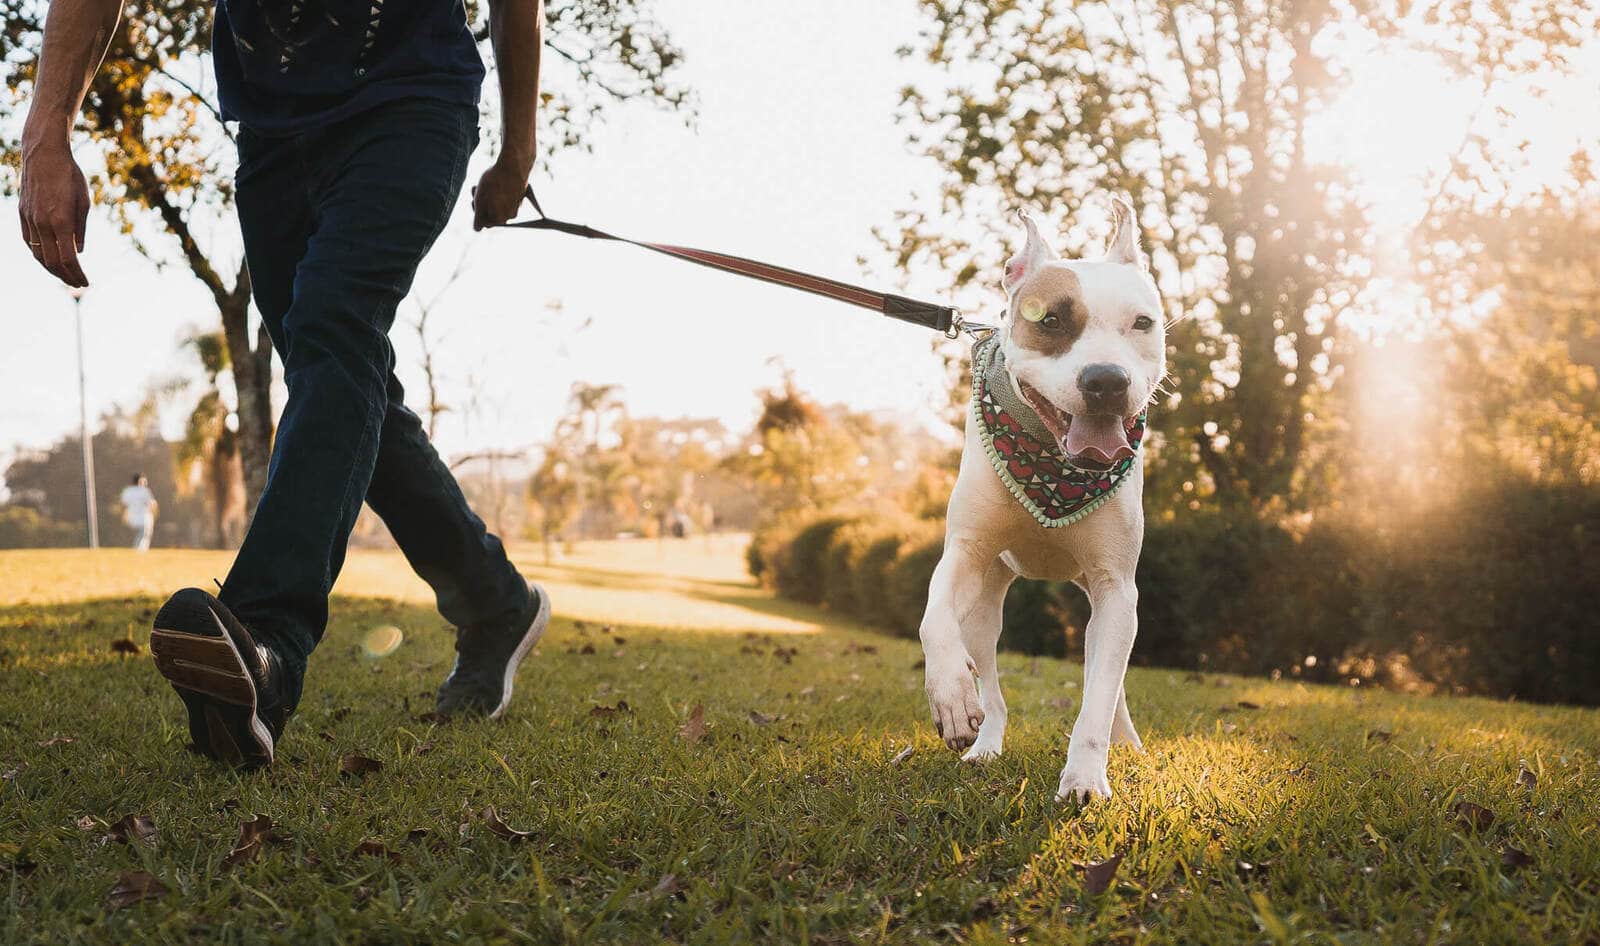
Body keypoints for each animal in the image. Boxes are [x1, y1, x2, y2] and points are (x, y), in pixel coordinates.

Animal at [921, 196, 1171, 803]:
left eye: (1142, 323)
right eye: (1050, 320)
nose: (1106, 380)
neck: (1053, 472)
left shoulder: (1116, 589)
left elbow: (1098, 697)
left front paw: (1084, 778)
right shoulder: (964, 553)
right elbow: (932, 618)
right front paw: (951, 697)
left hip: (1106, 612)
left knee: (1110, 680)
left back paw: (1126, 744)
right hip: (985, 610)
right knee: (991, 683)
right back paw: (984, 742)